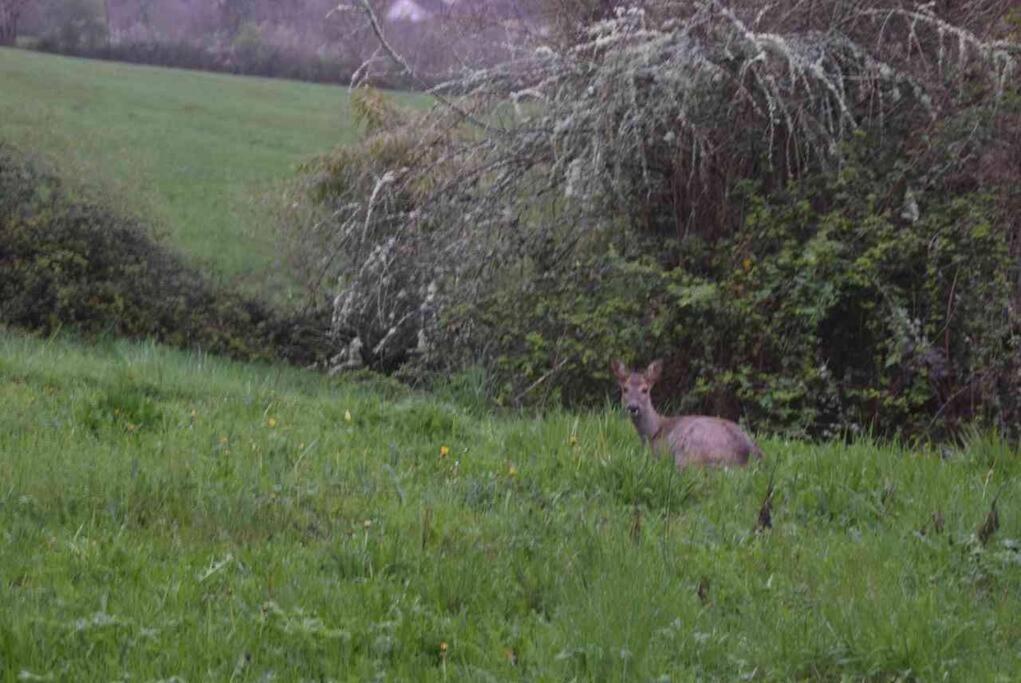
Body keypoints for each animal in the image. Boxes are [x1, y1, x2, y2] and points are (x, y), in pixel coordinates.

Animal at [608, 357, 763, 469]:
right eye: (625, 389)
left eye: (645, 389)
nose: (633, 407)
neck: (653, 431)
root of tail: (747, 456)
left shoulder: (659, 451)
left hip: (689, 449)